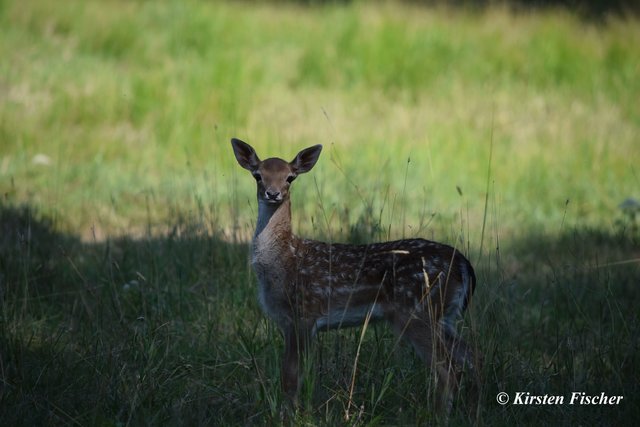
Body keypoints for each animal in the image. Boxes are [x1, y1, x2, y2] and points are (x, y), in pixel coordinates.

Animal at [232, 139, 478, 416]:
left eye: (290, 177)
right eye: (257, 175)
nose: (273, 193)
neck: (282, 261)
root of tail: (464, 265)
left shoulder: (302, 315)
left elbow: (291, 377)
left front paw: (290, 415)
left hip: (418, 311)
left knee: (448, 370)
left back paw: (437, 415)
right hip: (444, 316)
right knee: (473, 357)